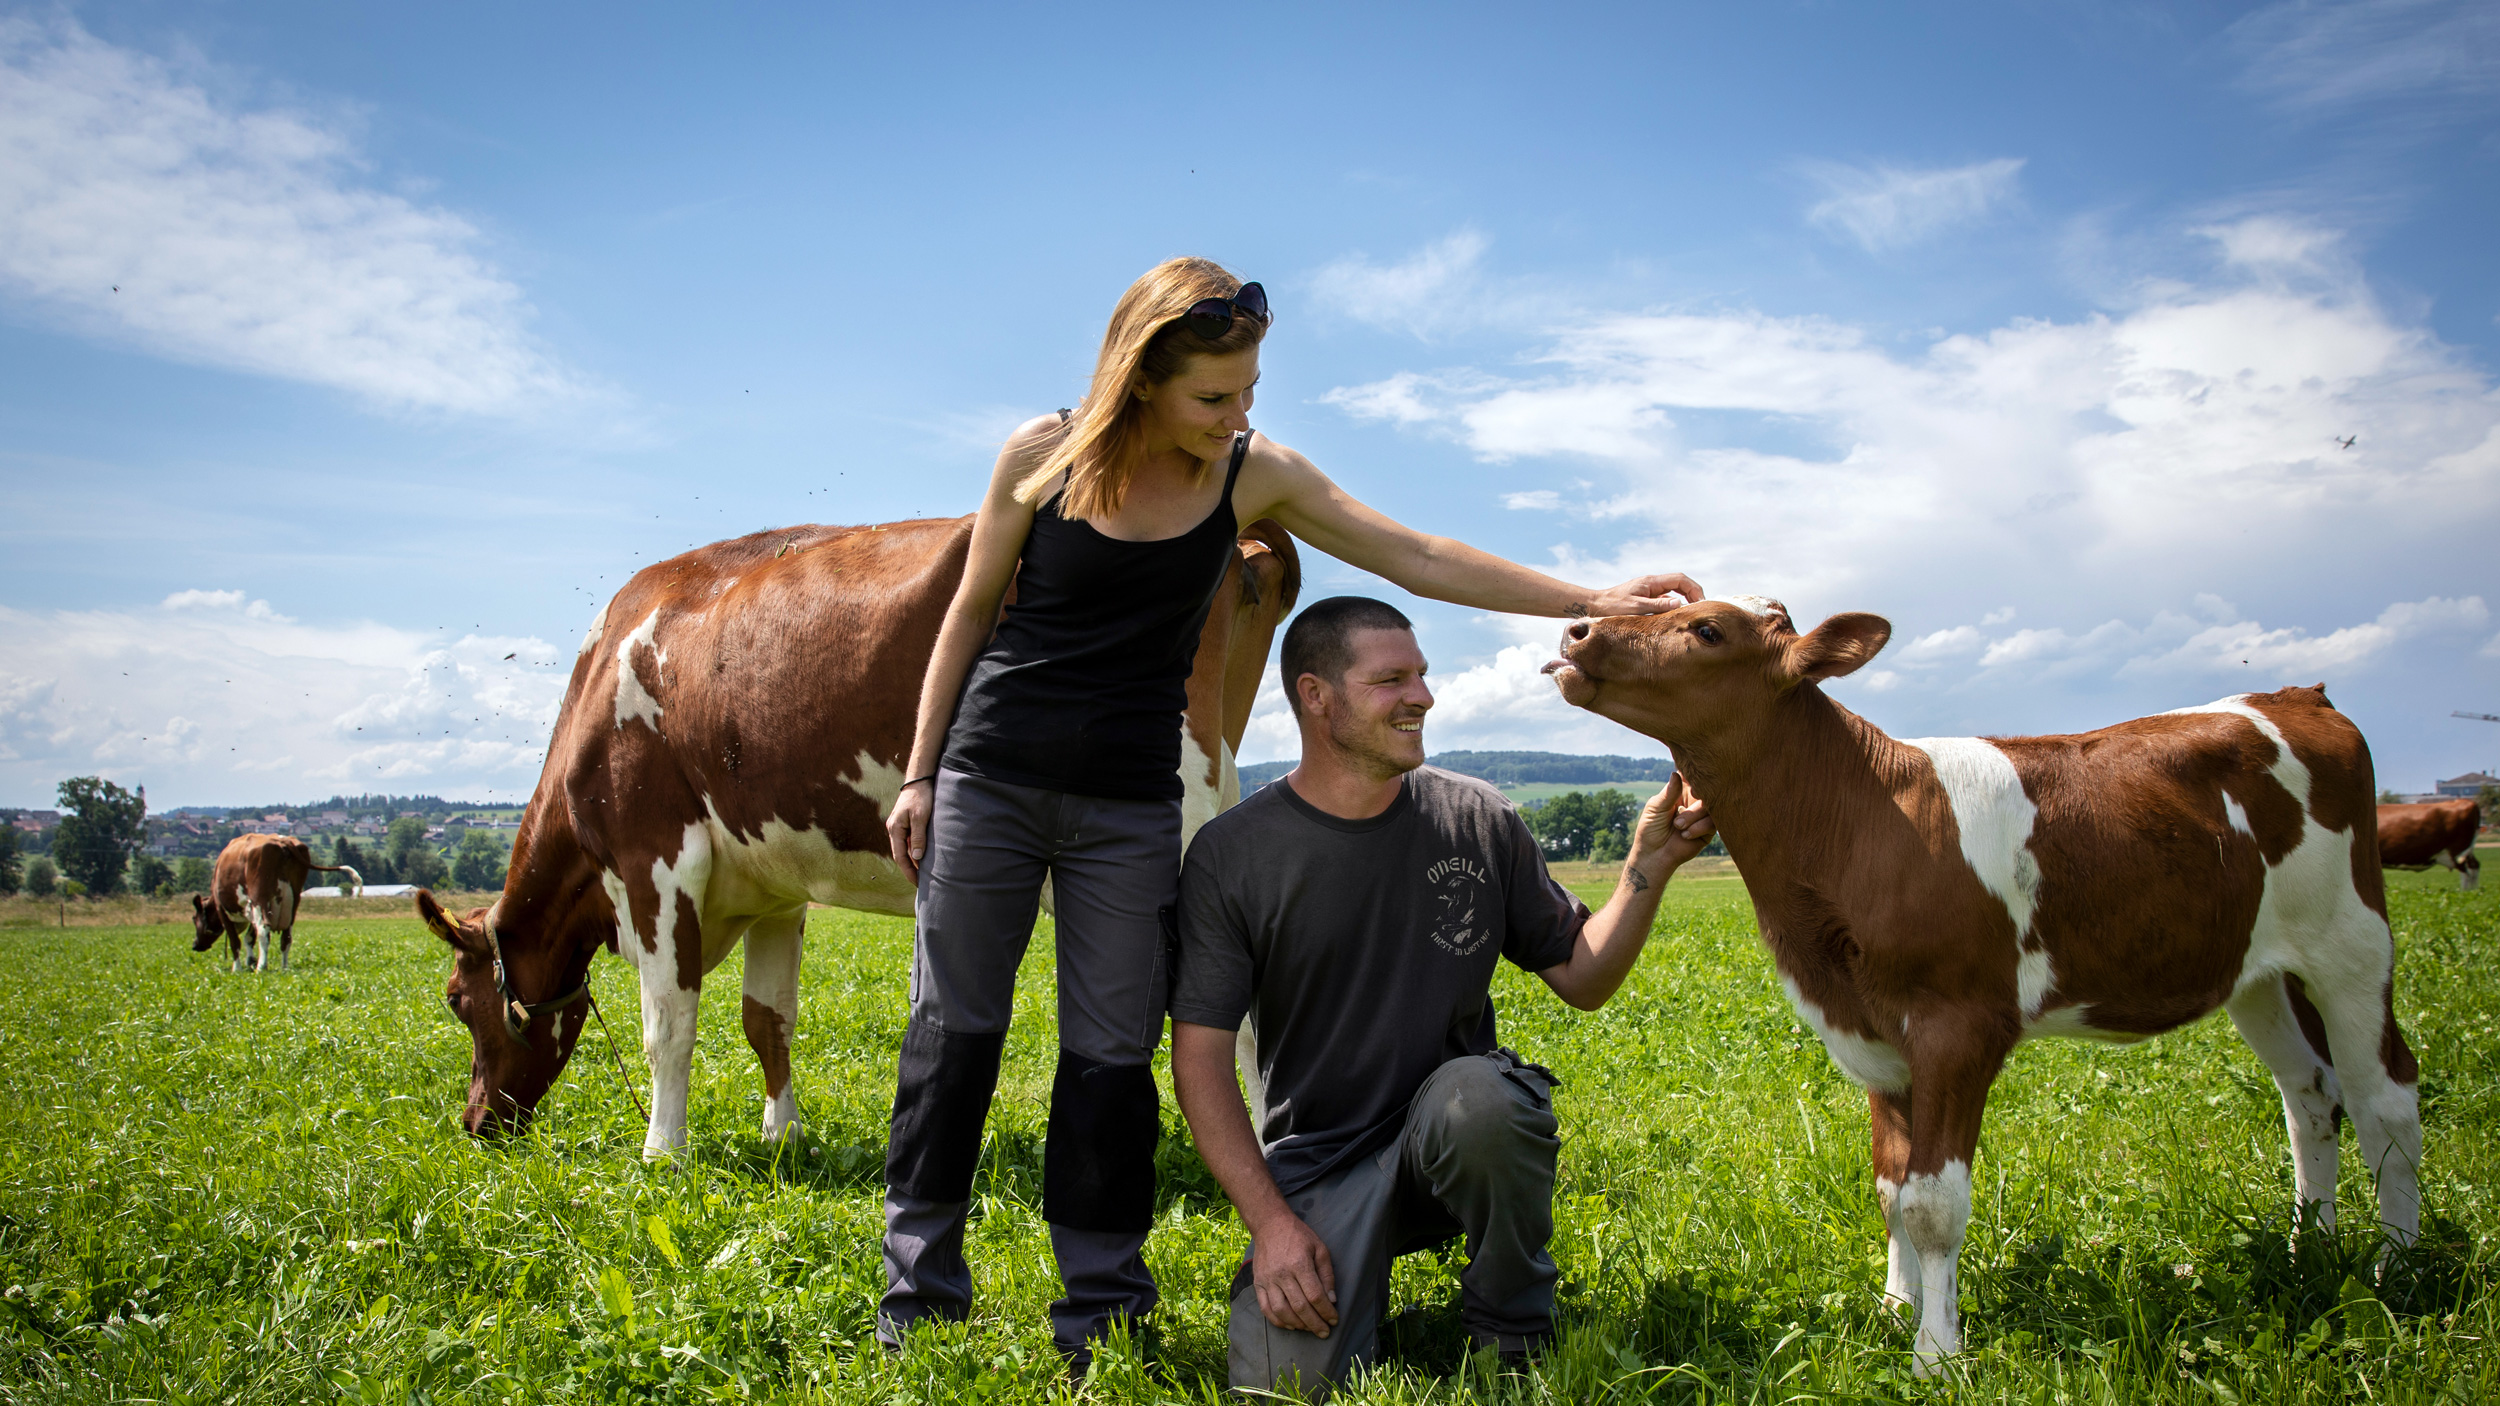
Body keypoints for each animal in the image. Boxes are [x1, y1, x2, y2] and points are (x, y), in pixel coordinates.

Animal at [191, 825, 365, 970]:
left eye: (194, 918)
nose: (195, 945)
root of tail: (283, 842)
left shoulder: (224, 910)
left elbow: (236, 942)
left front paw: (238, 969)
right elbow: (249, 938)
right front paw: (250, 962)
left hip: (260, 899)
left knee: (263, 931)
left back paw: (262, 967)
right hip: (292, 901)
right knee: (286, 936)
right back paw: (284, 967)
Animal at [412, 515, 1300, 1150]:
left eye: (457, 1001)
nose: (476, 1123)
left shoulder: (655, 860)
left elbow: (669, 1022)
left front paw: (664, 1152)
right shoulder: (772, 886)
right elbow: (766, 1019)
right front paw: (784, 1134)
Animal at [1540, 592, 2420, 1370]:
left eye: (1707, 629)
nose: (1577, 629)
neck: (1853, 824)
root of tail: (2294, 696)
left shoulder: (1958, 1025)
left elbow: (1934, 1204)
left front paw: (1937, 1354)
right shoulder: (1874, 1033)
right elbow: (1891, 1187)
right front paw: (1894, 1312)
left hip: (2353, 945)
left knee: (2386, 1099)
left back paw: (2397, 1271)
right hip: (2259, 973)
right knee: (2310, 1095)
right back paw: (2312, 1250)